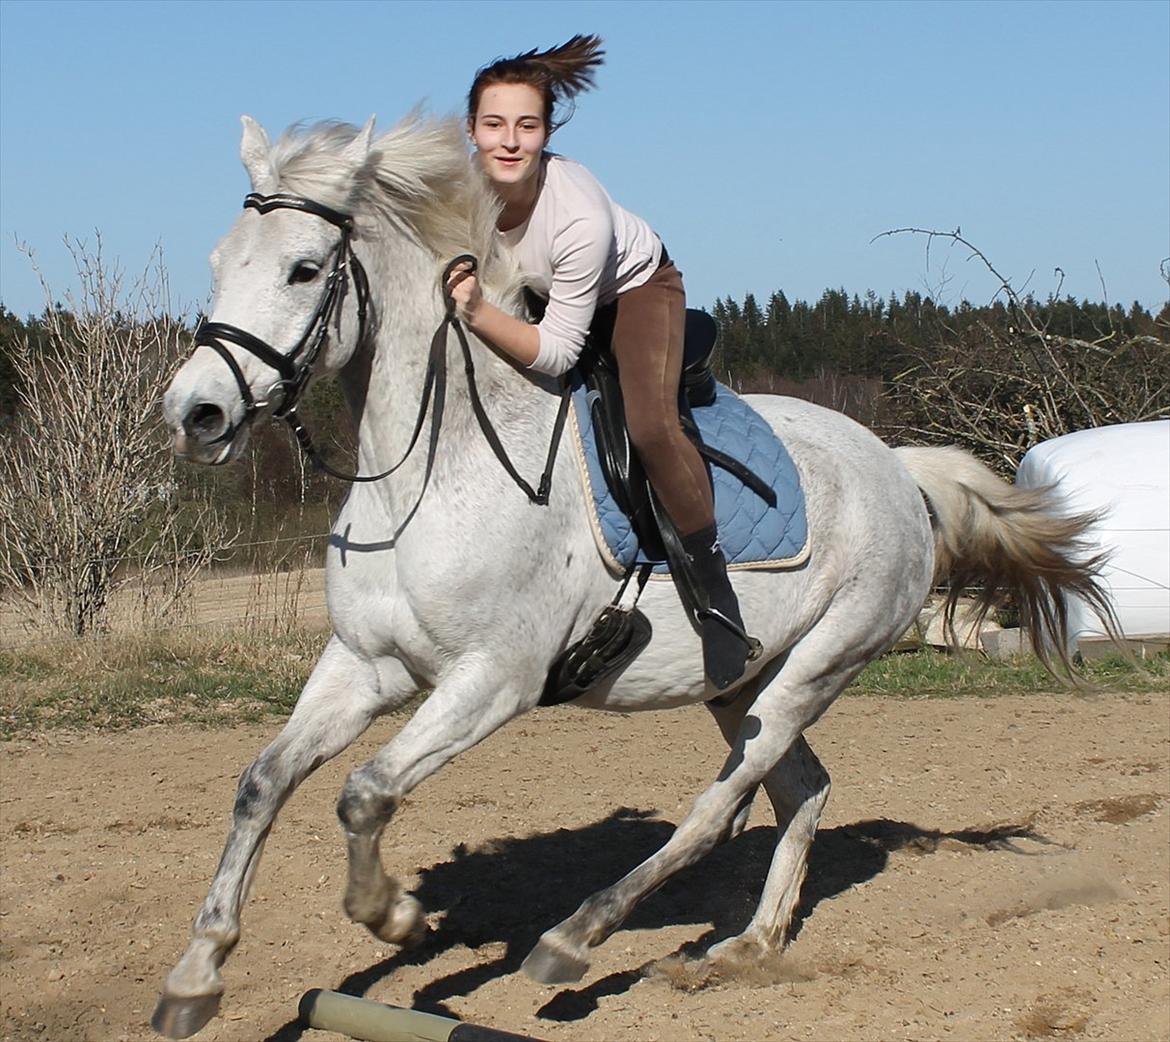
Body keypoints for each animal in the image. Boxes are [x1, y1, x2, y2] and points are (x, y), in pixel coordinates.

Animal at [150, 114, 1109, 1042]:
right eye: (218, 264)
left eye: (305, 269)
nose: (196, 415)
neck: (431, 470)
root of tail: (899, 469)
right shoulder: (365, 663)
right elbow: (263, 783)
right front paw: (197, 977)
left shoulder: (493, 679)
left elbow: (365, 792)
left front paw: (392, 913)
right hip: (745, 677)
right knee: (801, 788)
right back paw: (749, 945)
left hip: (823, 661)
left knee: (723, 805)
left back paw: (575, 939)